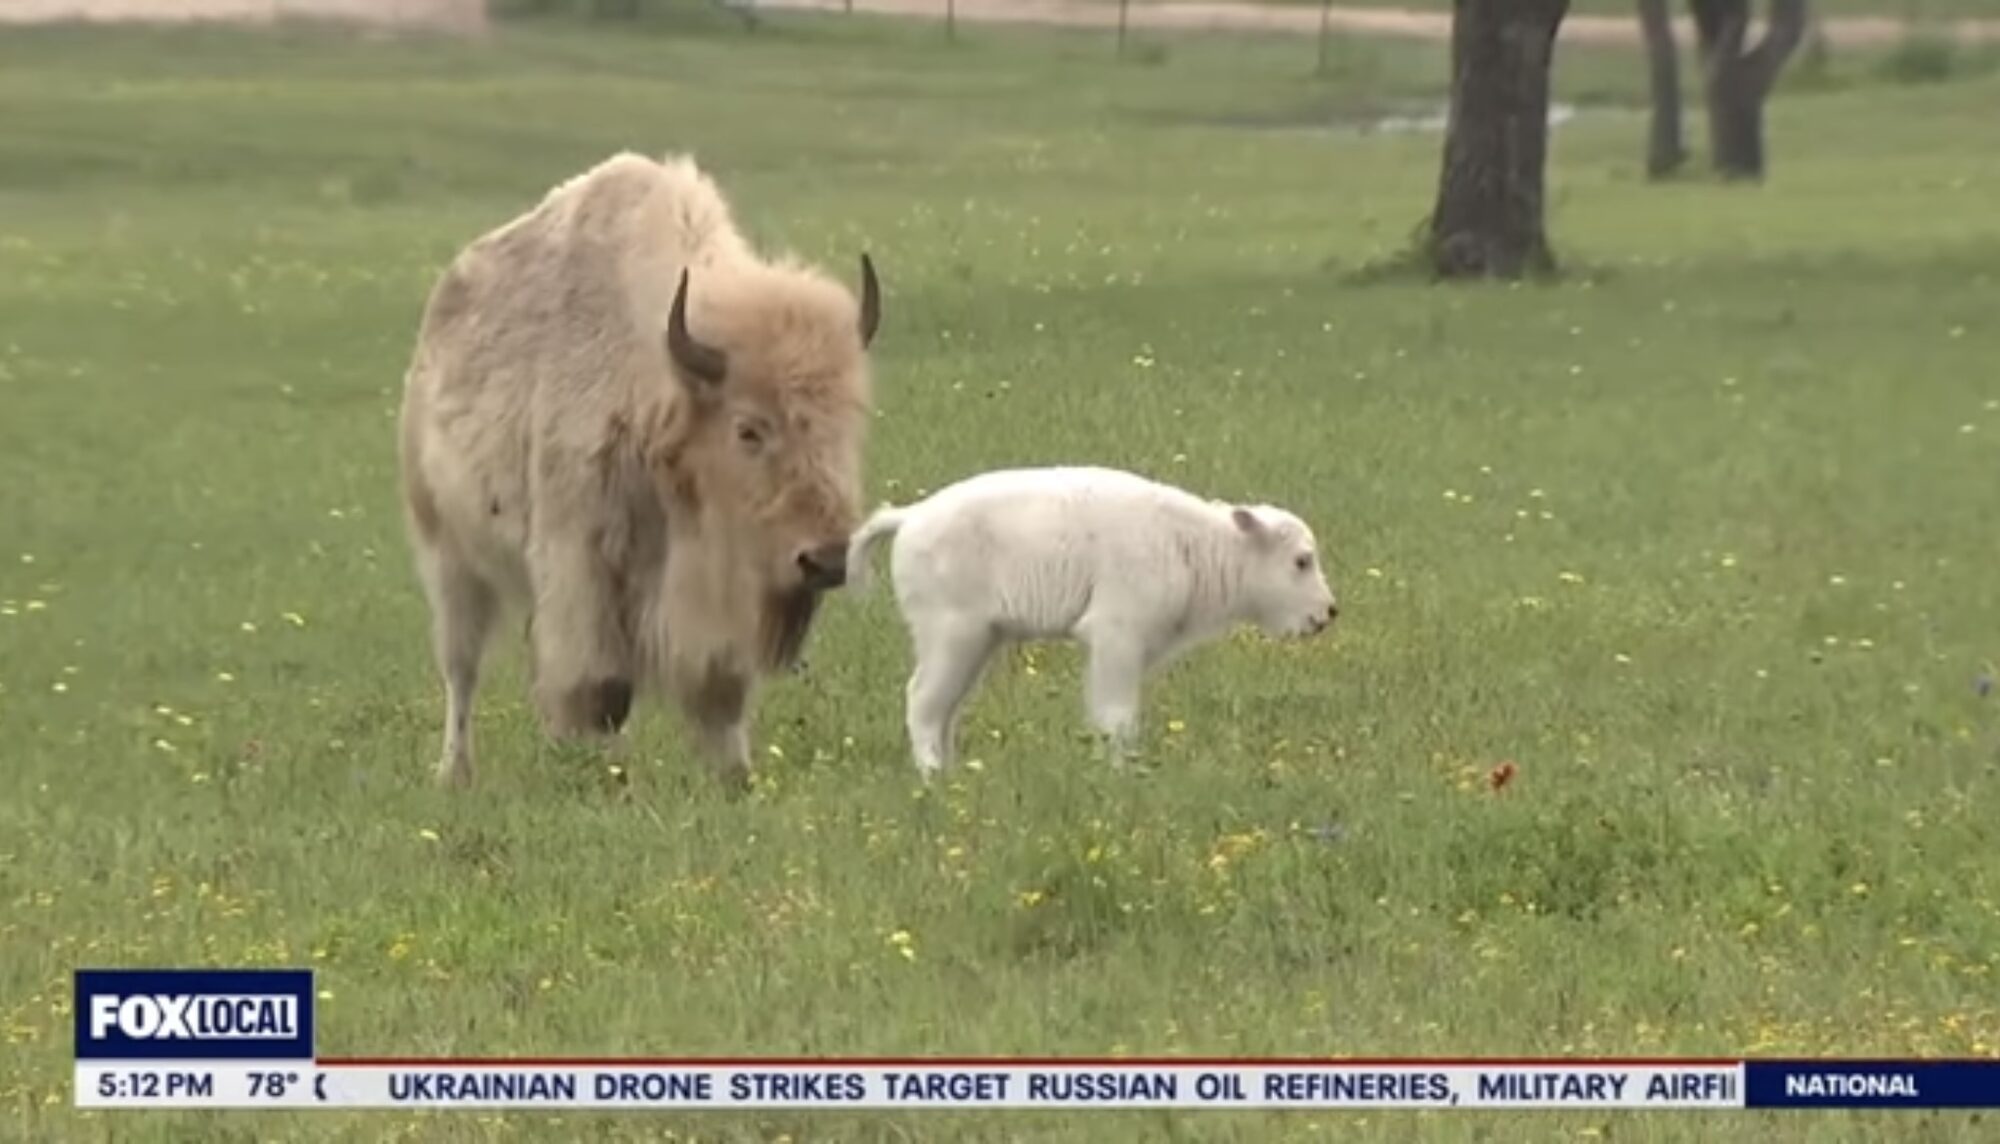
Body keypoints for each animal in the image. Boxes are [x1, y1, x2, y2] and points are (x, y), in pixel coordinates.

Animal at [397, 151, 881, 792]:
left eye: (847, 420)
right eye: (748, 429)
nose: (825, 559)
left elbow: (719, 690)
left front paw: (734, 777)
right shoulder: (582, 565)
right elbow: (598, 688)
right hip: (448, 554)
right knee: (461, 668)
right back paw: (455, 773)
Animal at [844, 466, 1339, 777]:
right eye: (1301, 561)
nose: (1329, 612)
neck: (1197, 545)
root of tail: (910, 516)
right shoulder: (1116, 640)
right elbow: (1117, 716)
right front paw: (1121, 770)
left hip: (978, 644)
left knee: (946, 707)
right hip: (952, 637)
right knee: (922, 700)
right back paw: (932, 774)